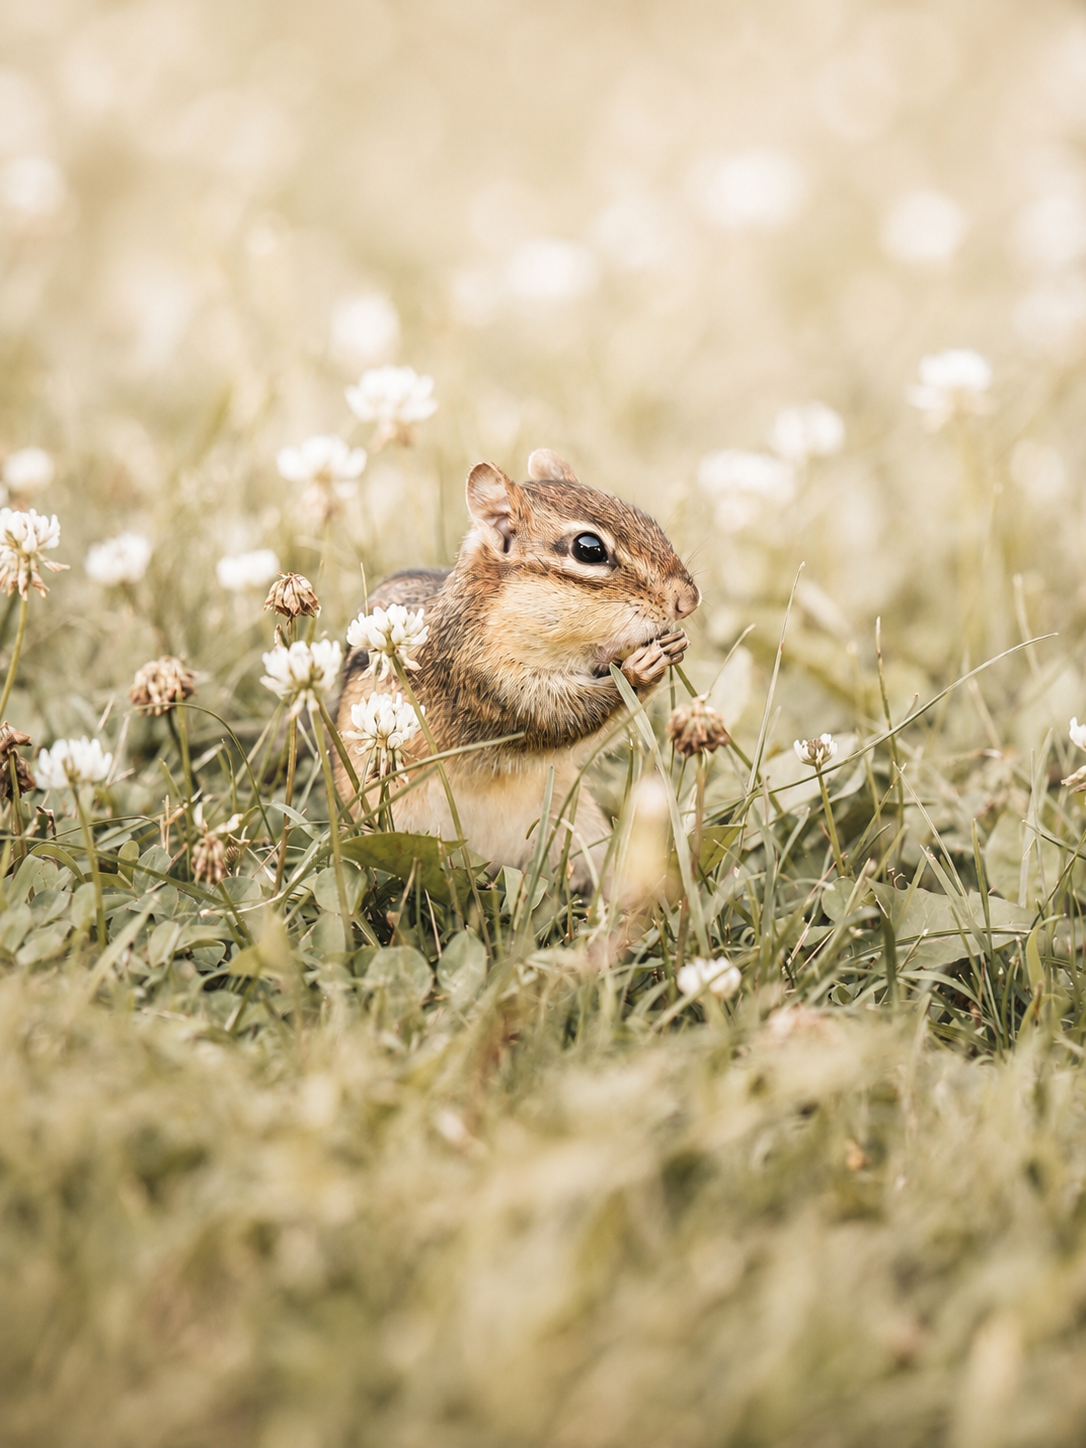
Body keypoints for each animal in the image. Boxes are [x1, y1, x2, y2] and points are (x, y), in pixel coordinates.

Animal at [334, 449, 699, 891]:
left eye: (648, 520)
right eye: (589, 549)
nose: (688, 600)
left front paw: (673, 646)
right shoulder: (481, 681)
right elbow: (557, 717)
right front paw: (641, 669)